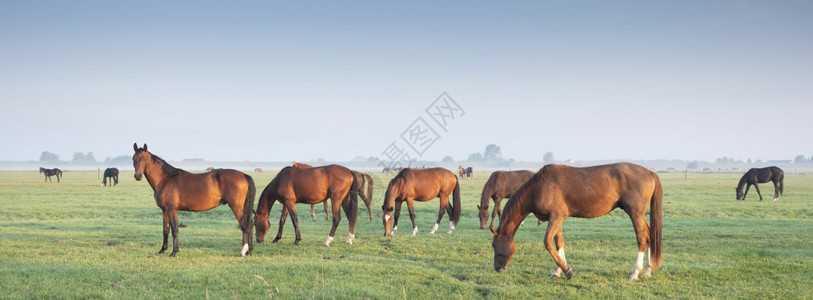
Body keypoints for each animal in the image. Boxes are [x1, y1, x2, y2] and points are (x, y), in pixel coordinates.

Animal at [488, 163, 660, 280]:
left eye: (494, 245)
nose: (497, 268)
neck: (539, 187)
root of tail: (649, 172)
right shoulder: (555, 218)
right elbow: (558, 242)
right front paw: (558, 270)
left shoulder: (557, 217)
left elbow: (547, 242)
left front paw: (567, 271)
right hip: (639, 215)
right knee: (649, 235)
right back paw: (648, 270)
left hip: (635, 214)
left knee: (642, 238)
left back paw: (635, 272)